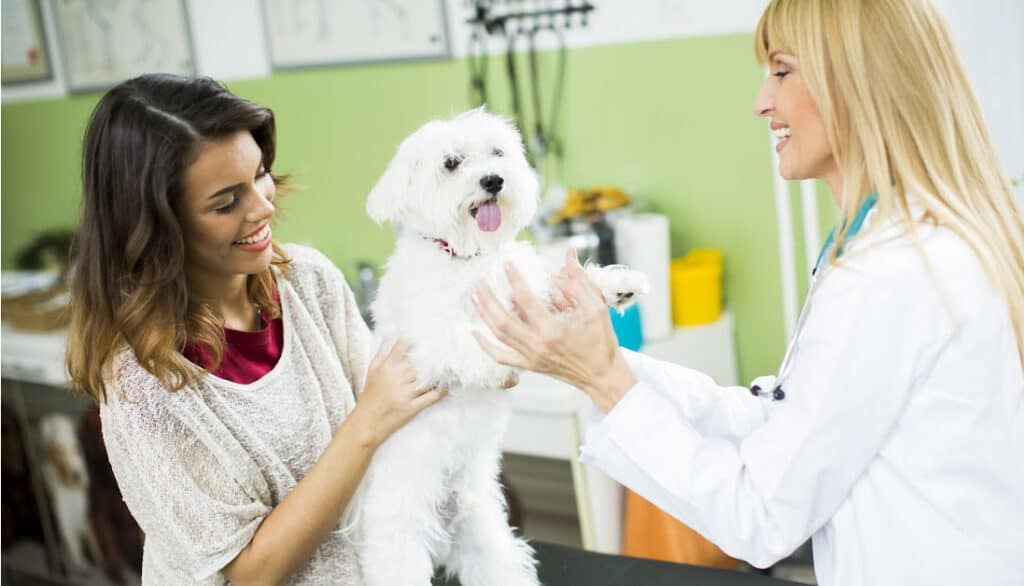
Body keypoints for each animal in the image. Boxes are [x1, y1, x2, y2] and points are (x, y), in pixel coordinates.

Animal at [38, 411, 103, 573]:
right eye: (58, 452)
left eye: (78, 448)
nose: (77, 476)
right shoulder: (62, 513)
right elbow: (72, 541)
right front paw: (80, 563)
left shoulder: (83, 509)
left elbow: (90, 536)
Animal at [348, 109, 643, 586]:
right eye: (451, 163)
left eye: (497, 153)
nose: (492, 180)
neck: (468, 257)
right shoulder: (429, 341)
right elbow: (469, 342)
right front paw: (502, 363)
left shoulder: (524, 290)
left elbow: (558, 285)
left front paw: (615, 285)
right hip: (399, 539)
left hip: (482, 534)